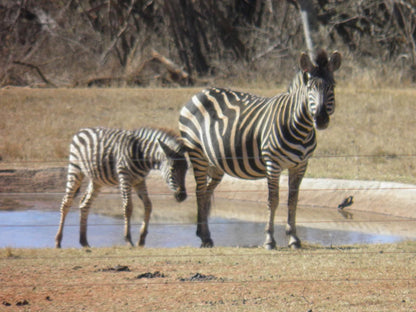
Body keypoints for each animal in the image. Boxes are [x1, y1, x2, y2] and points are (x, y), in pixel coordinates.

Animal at [54, 125, 188, 247]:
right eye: (172, 169)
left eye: (186, 169)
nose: (182, 196)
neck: (141, 155)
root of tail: (81, 130)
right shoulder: (124, 176)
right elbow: (128, 207)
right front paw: (128, 240)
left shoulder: (139, 181)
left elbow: (148, 205)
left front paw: (141, 239)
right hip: (75, 169)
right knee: (66, 203)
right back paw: (58, 241)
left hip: (97, 180)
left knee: (84, 204)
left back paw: (84, 241)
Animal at [179, 50, 342, 250]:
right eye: (310, 88)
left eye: (332, 86)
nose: (321, 119)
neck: (300, 127)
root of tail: (200, 92)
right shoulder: (273, 163)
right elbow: (273, 200)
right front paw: (269, 240)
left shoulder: (301, 165)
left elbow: (293, 201)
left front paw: (294, 238)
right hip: (197, 153)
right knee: (200, 191)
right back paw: (205, 237)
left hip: (216, 162)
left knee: (207, 193)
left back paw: (205, 235)